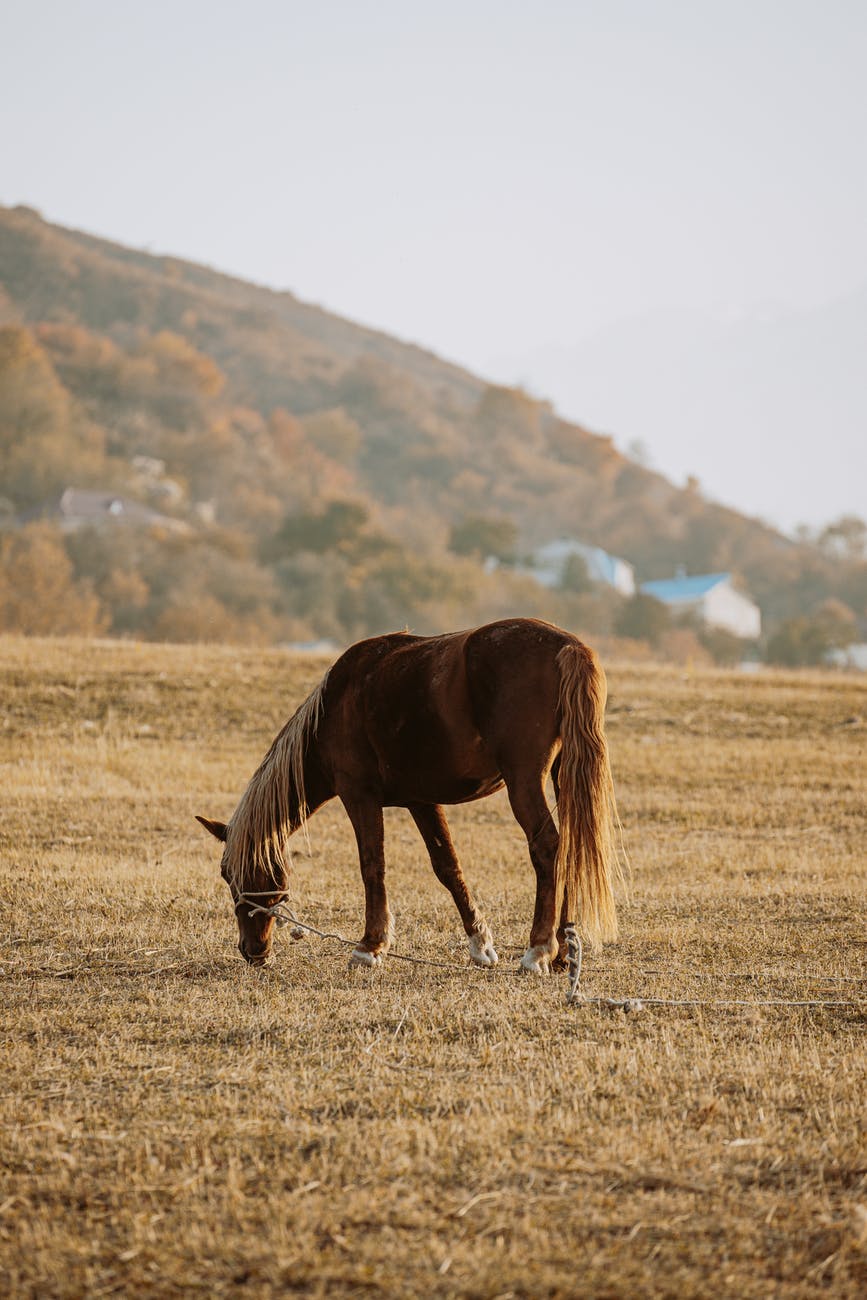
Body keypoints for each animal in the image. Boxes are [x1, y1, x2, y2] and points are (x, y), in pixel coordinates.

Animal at [196, 618, 621, 977]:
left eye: (228, 873)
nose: (252, 951)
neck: (335, 705)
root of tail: (567, 645)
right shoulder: (422, 802)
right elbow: (447, 867)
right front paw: (480, 944)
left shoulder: (359, 796)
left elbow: (373, 866)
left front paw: (369, 947)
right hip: (562, 775)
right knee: (570, 847)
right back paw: (563, 952)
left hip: (524, 781)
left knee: (548, 847)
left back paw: (538, 950)